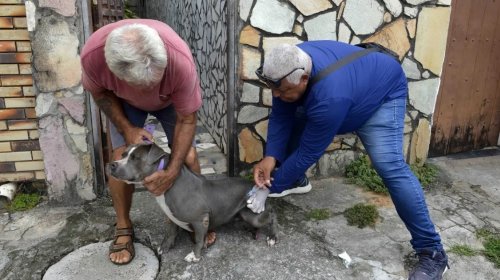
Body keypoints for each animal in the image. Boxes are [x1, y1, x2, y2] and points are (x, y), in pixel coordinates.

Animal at [106, 143, 278, 262]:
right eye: (123, 154)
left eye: (135, 158)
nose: (111, 164)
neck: (169, 183)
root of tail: (257, 186)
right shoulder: (171, 216)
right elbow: (170, 232)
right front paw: (165, 247)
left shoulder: (201, 219)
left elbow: (199, 240)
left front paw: (195, 256)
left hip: (254, 215)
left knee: (272, 217)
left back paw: (272, 237)